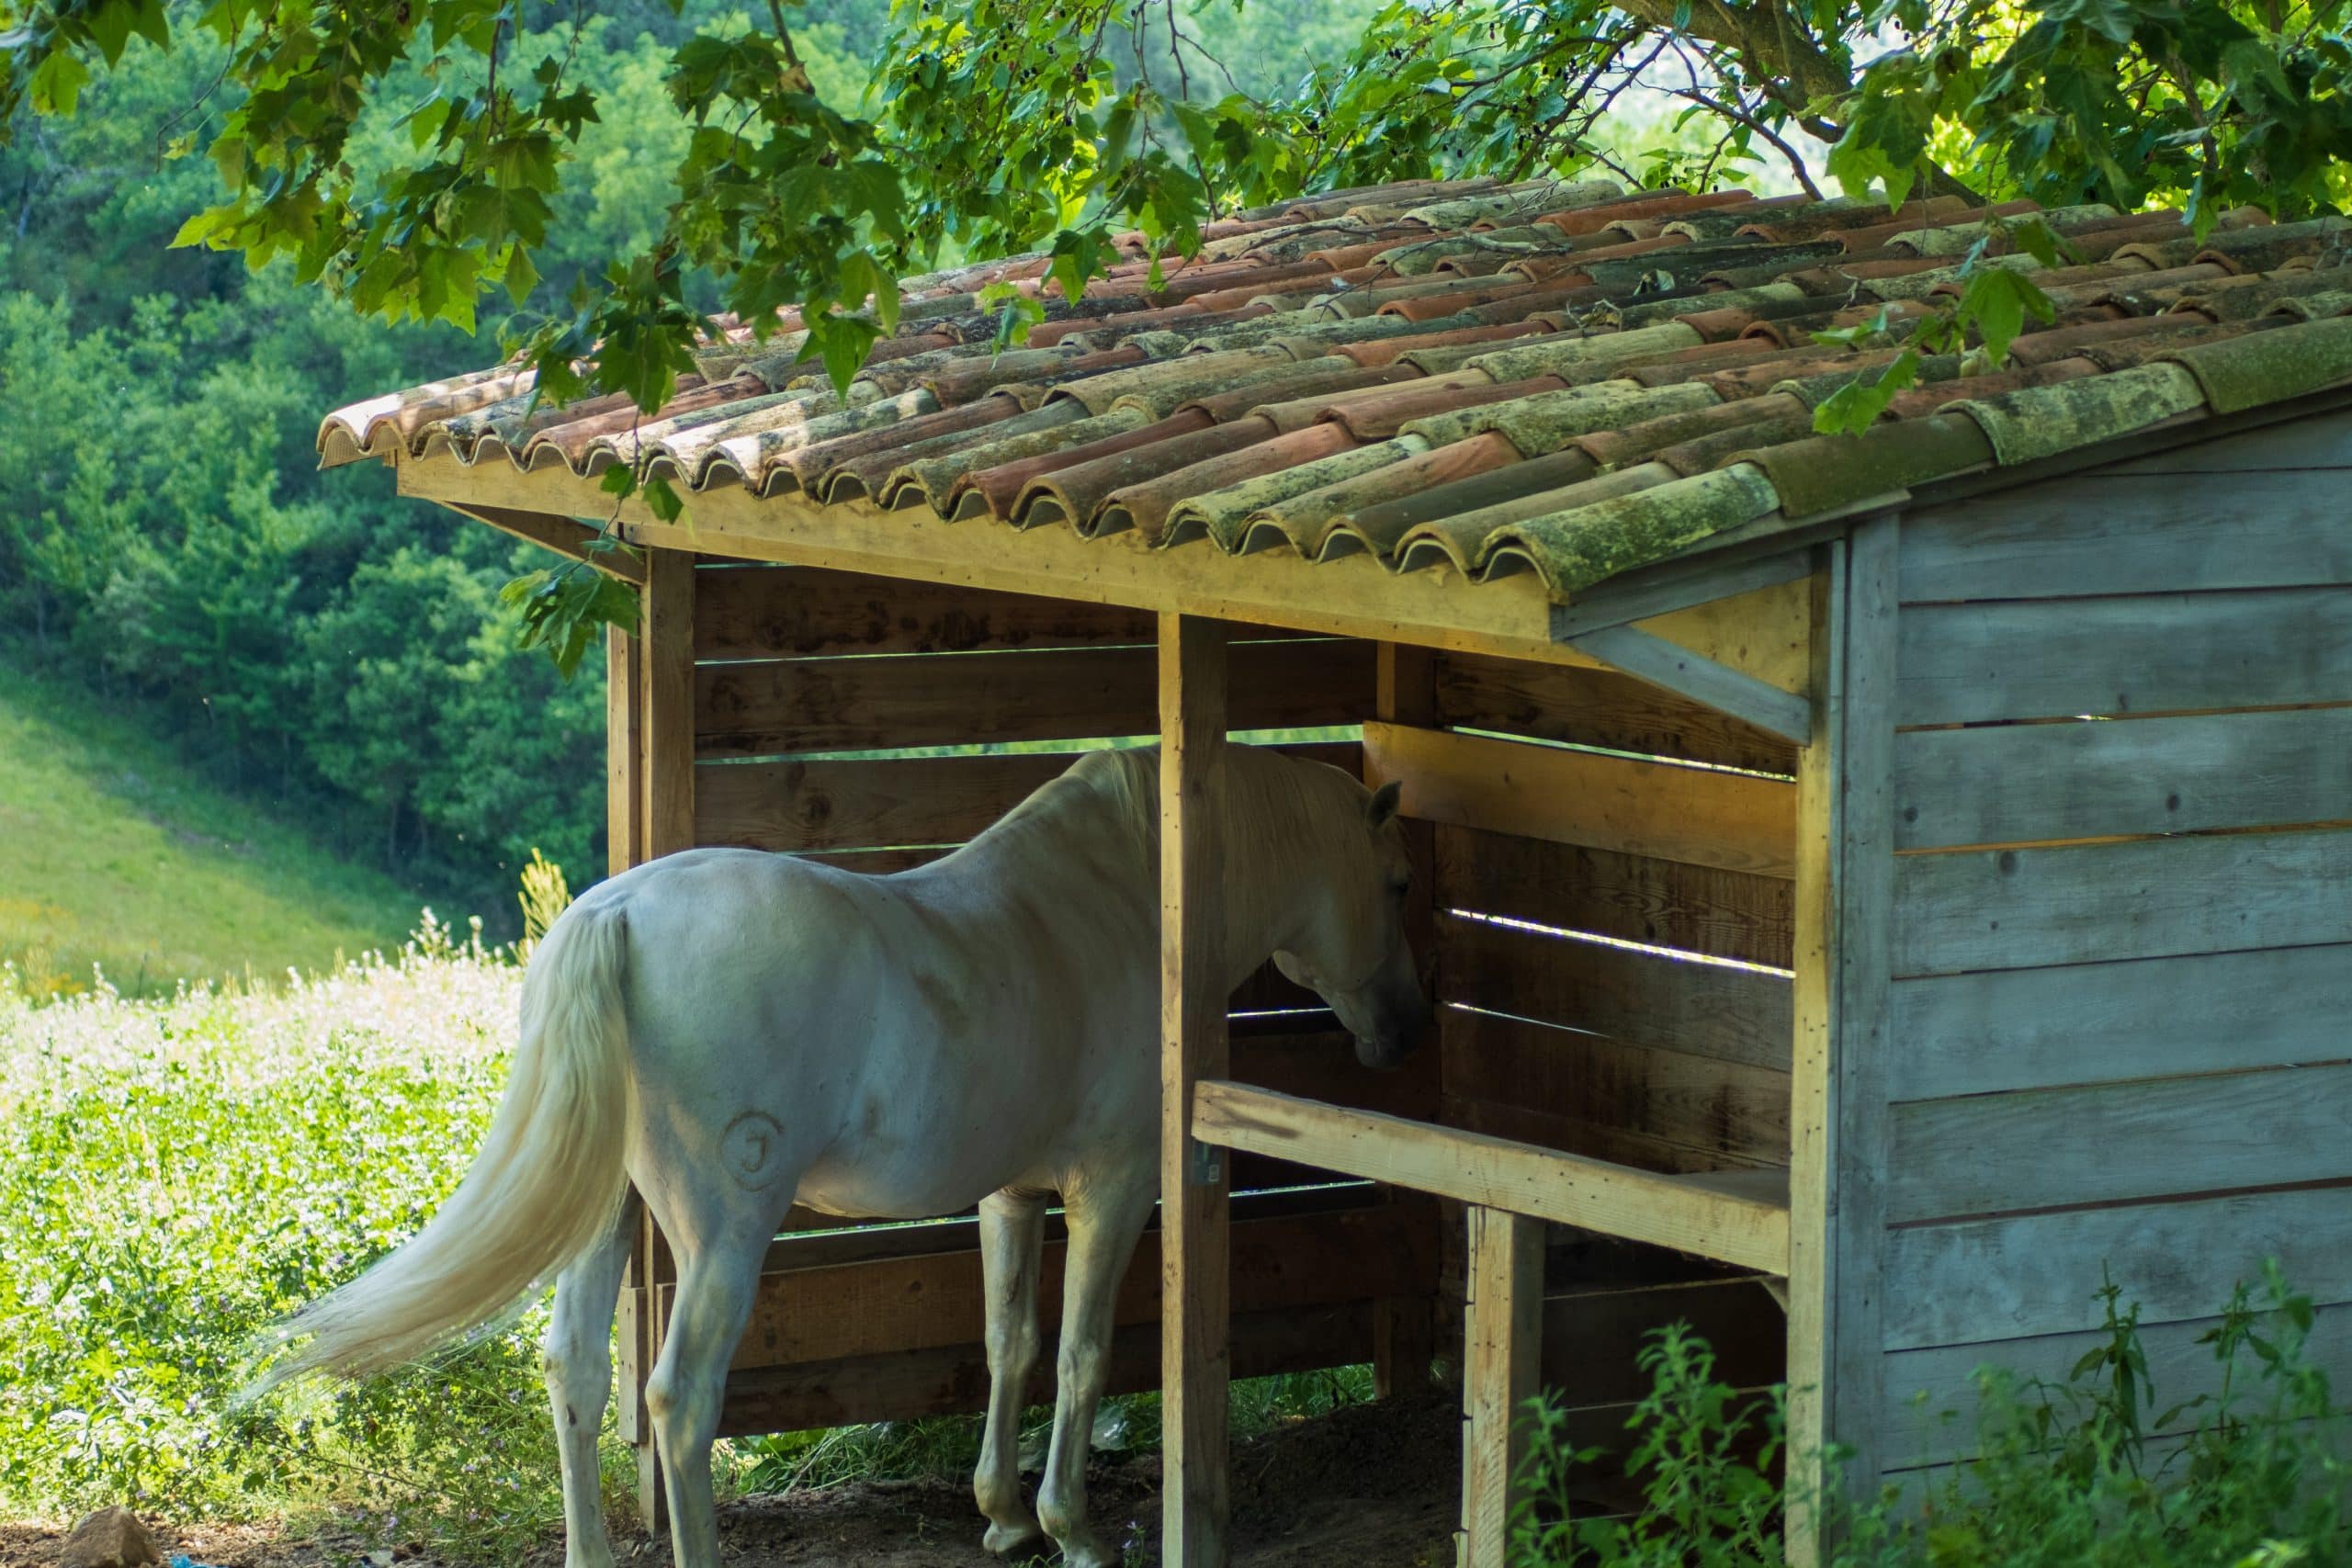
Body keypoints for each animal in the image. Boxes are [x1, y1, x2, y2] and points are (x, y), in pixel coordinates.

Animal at [266, 747, 1420, 1568]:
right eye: (1397, 883)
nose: (1402, 1033)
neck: (1128, 902)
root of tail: (617, 915)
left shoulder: (1010, 1195)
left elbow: (1010, 1341)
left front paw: (1004, 1518)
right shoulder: (1116, 1188)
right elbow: (1084, 1352)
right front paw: (1073, 1530)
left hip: (604, 1218)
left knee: (577, 1370)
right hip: (725, 1235)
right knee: (680, 1400)